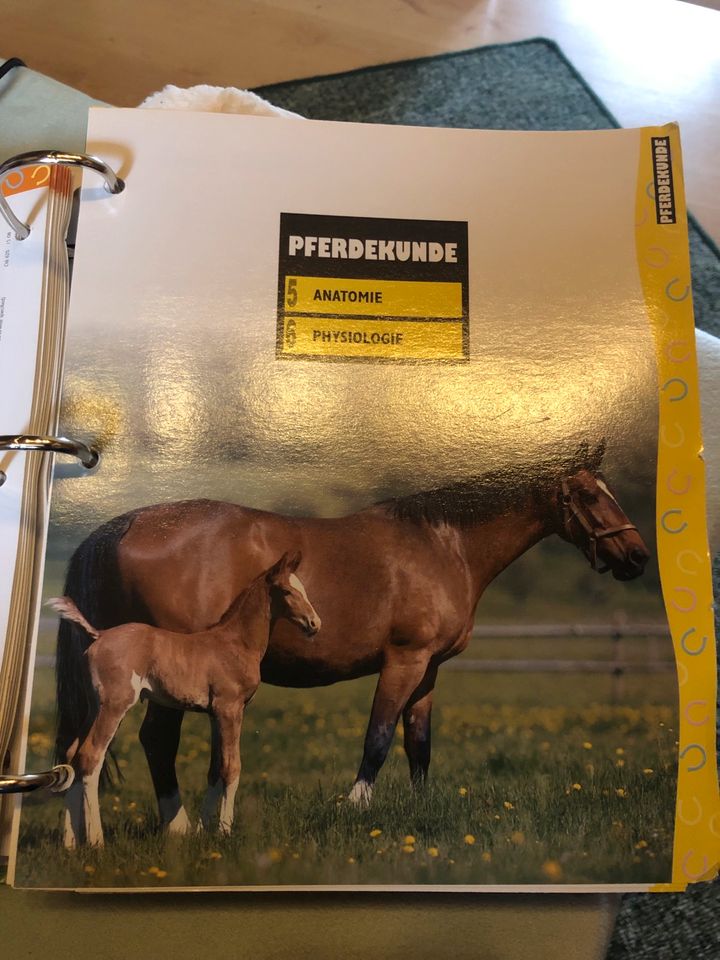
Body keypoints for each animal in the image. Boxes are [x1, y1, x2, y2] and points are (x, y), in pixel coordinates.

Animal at [49, 552, 320, 844]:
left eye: (303, 589)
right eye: (287, 591)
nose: (315, 624)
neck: (235, 643)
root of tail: (99, 635)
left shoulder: (215, 714)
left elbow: (215, 770)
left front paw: (202, 831)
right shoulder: (230, 709)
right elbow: (232, 767)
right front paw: (225, 831)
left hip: (93, 707)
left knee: (72, 753)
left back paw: (69, 842)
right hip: (114, 706)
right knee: (91, 756)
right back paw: (96, 841)